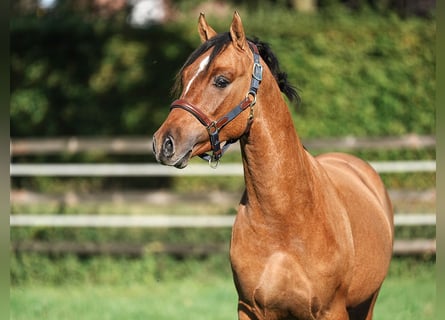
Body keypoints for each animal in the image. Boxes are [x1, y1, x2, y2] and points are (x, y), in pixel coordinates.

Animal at [153, 11, 392, 318]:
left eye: (221, 80)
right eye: (184, 77)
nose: (164, 143)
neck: (285, 222)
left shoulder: (332, 310)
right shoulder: (250, 309)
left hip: (367, 302)